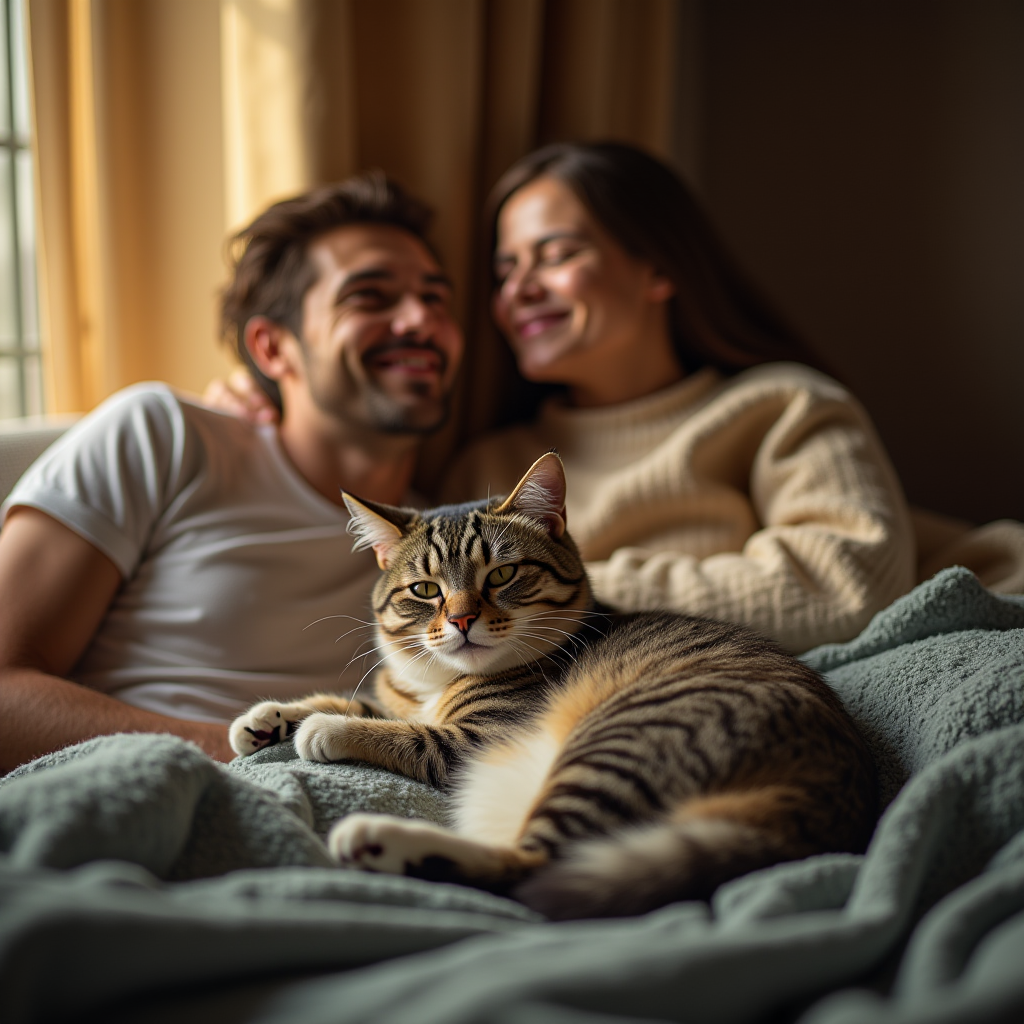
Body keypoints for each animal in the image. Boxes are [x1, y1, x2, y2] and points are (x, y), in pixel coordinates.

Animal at [232, 452, 880, 917]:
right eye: (425, 590)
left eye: (503, 575)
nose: (461, 620)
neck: (441, 681)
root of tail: (833, 797)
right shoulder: (405, 693)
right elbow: (366, 700)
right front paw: (267, 719)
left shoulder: (472, 738)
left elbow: (393, 730)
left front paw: (321, 727)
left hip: (621, 744)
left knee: (534, 870)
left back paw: (380, 839)